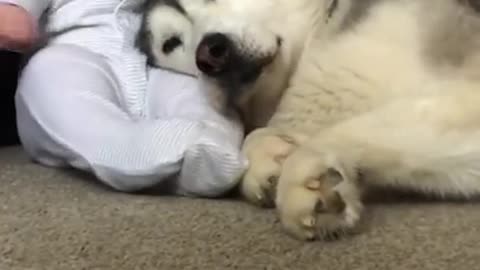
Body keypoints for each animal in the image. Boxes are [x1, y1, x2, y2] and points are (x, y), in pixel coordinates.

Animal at [136, 0, 480, 240]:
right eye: (171, 43)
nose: (211, 52)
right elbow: (255, 138)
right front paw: (269, 156)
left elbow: (347, 133)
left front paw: (305, 168)